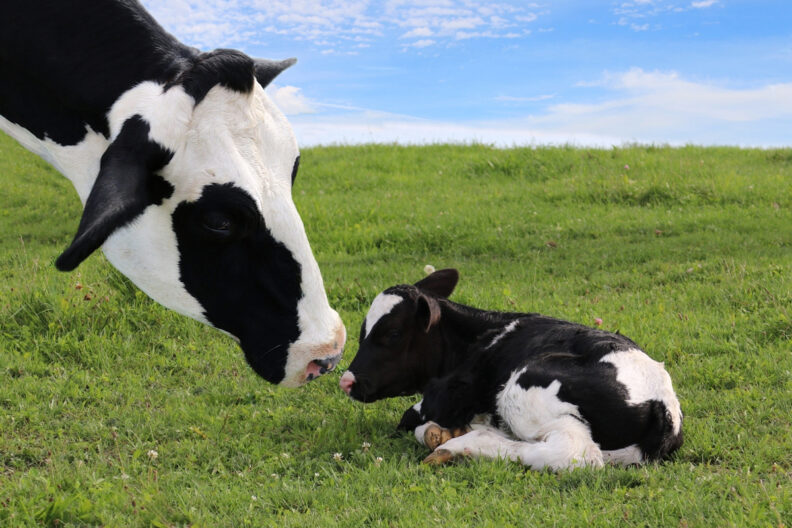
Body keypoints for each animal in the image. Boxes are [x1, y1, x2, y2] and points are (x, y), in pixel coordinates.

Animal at [339, 269, 683, 470]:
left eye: (393, 334)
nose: (346, 381)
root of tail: (662, 403)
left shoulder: (444, 397)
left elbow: (410, 419)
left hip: (525, 388)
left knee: (572, 453)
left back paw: (461, 443)